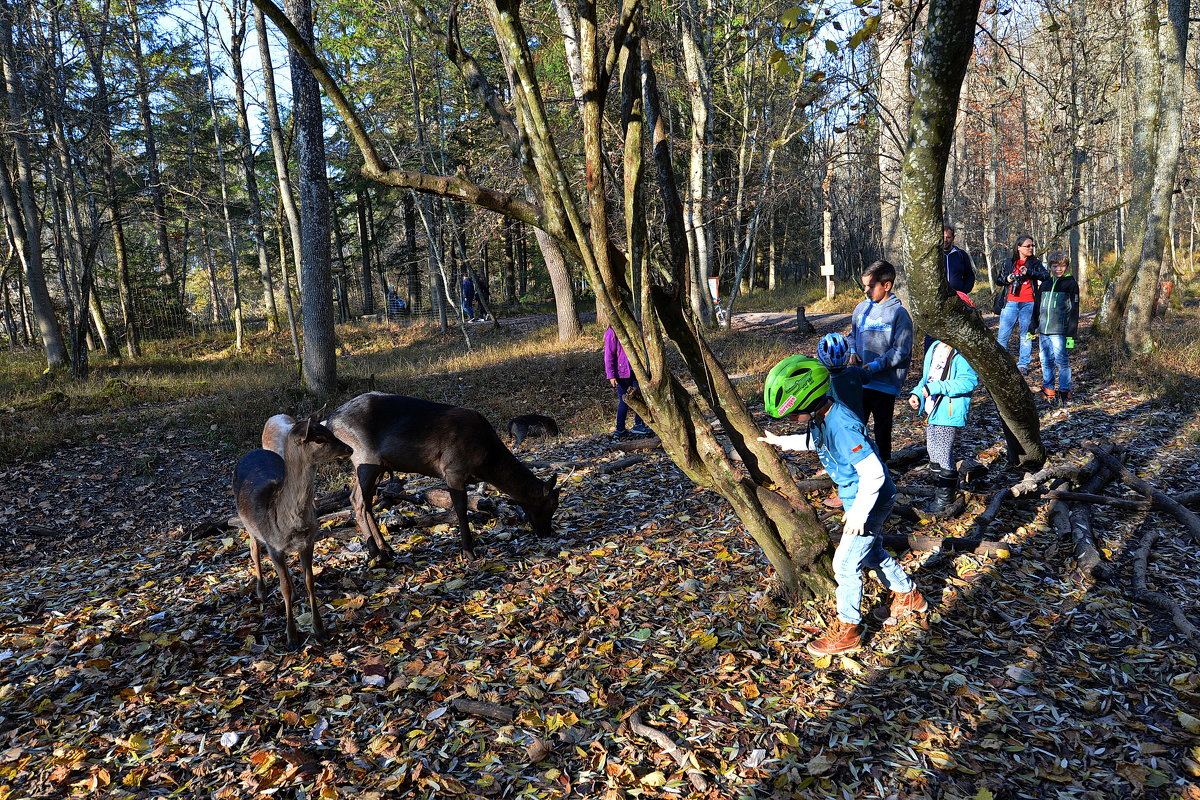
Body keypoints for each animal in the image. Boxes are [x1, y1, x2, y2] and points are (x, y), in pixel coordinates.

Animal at [231, 419, 350, 652]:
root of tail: (253, 451)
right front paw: (291, 638)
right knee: (253, 550)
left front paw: (320, 630)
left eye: (330, 431)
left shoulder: (308, 541)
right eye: (319, 439)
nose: (349, 449)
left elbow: (309, 580)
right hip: (250, 525)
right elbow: (283, 587)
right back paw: (261, 591)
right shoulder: (273, 546)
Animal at [321, 393, 559, 563]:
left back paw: (387, 548)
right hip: (364, 457)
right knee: (358, 501)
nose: (547, 532)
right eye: (550, 505)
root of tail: (329, 420)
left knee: (365, 501)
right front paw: (469, 552)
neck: (486, 461)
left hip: (376, 466)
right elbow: (461, 511)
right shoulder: (453, 469)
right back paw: (375, 553)